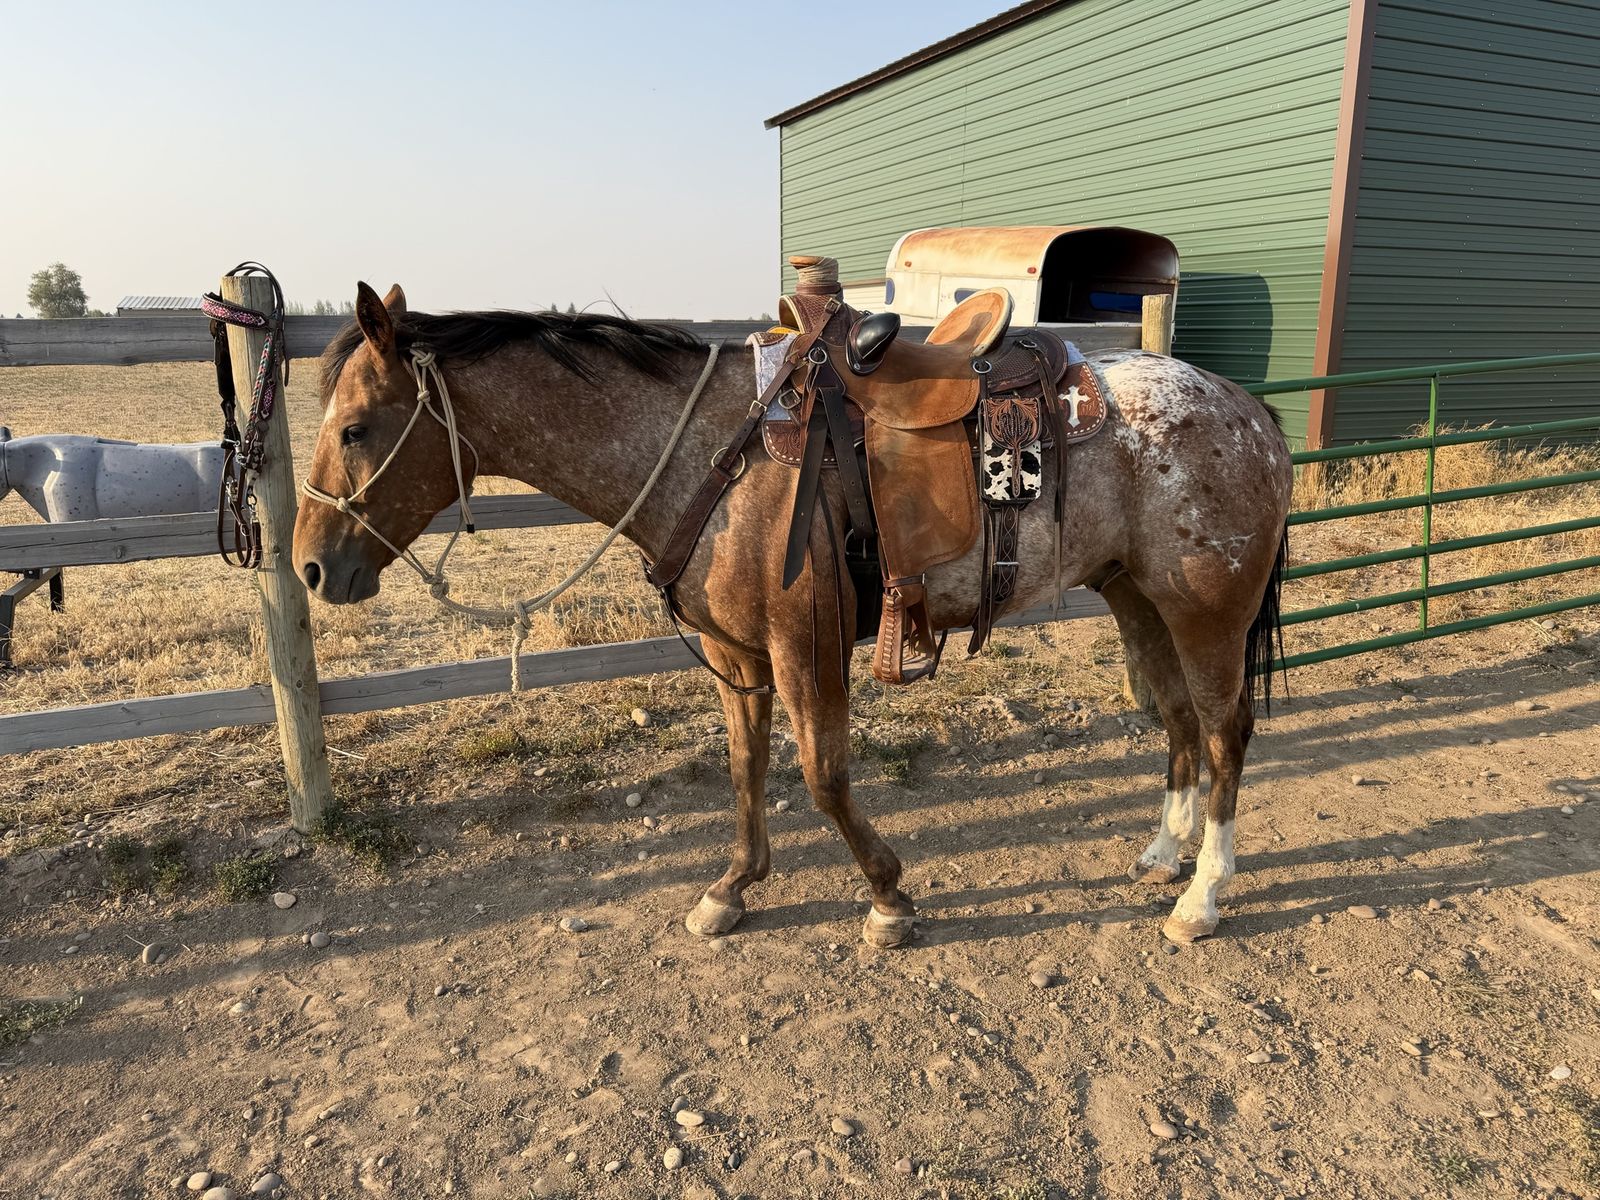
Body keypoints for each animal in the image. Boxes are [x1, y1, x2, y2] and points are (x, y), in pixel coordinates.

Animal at [292, 283, 1293, 947]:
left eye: (355, 428)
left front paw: (889, 898)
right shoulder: (737, 655)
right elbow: (746, 771)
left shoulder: (803, 646)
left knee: (1224, 732)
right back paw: (1163, 854)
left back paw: (1202, 897)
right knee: (1178, 724)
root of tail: (1249, 412)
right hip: (1136, 600)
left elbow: (823, 776)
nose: (309, 565)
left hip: (1206, 614)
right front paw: (732, 888)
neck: (712, 459)